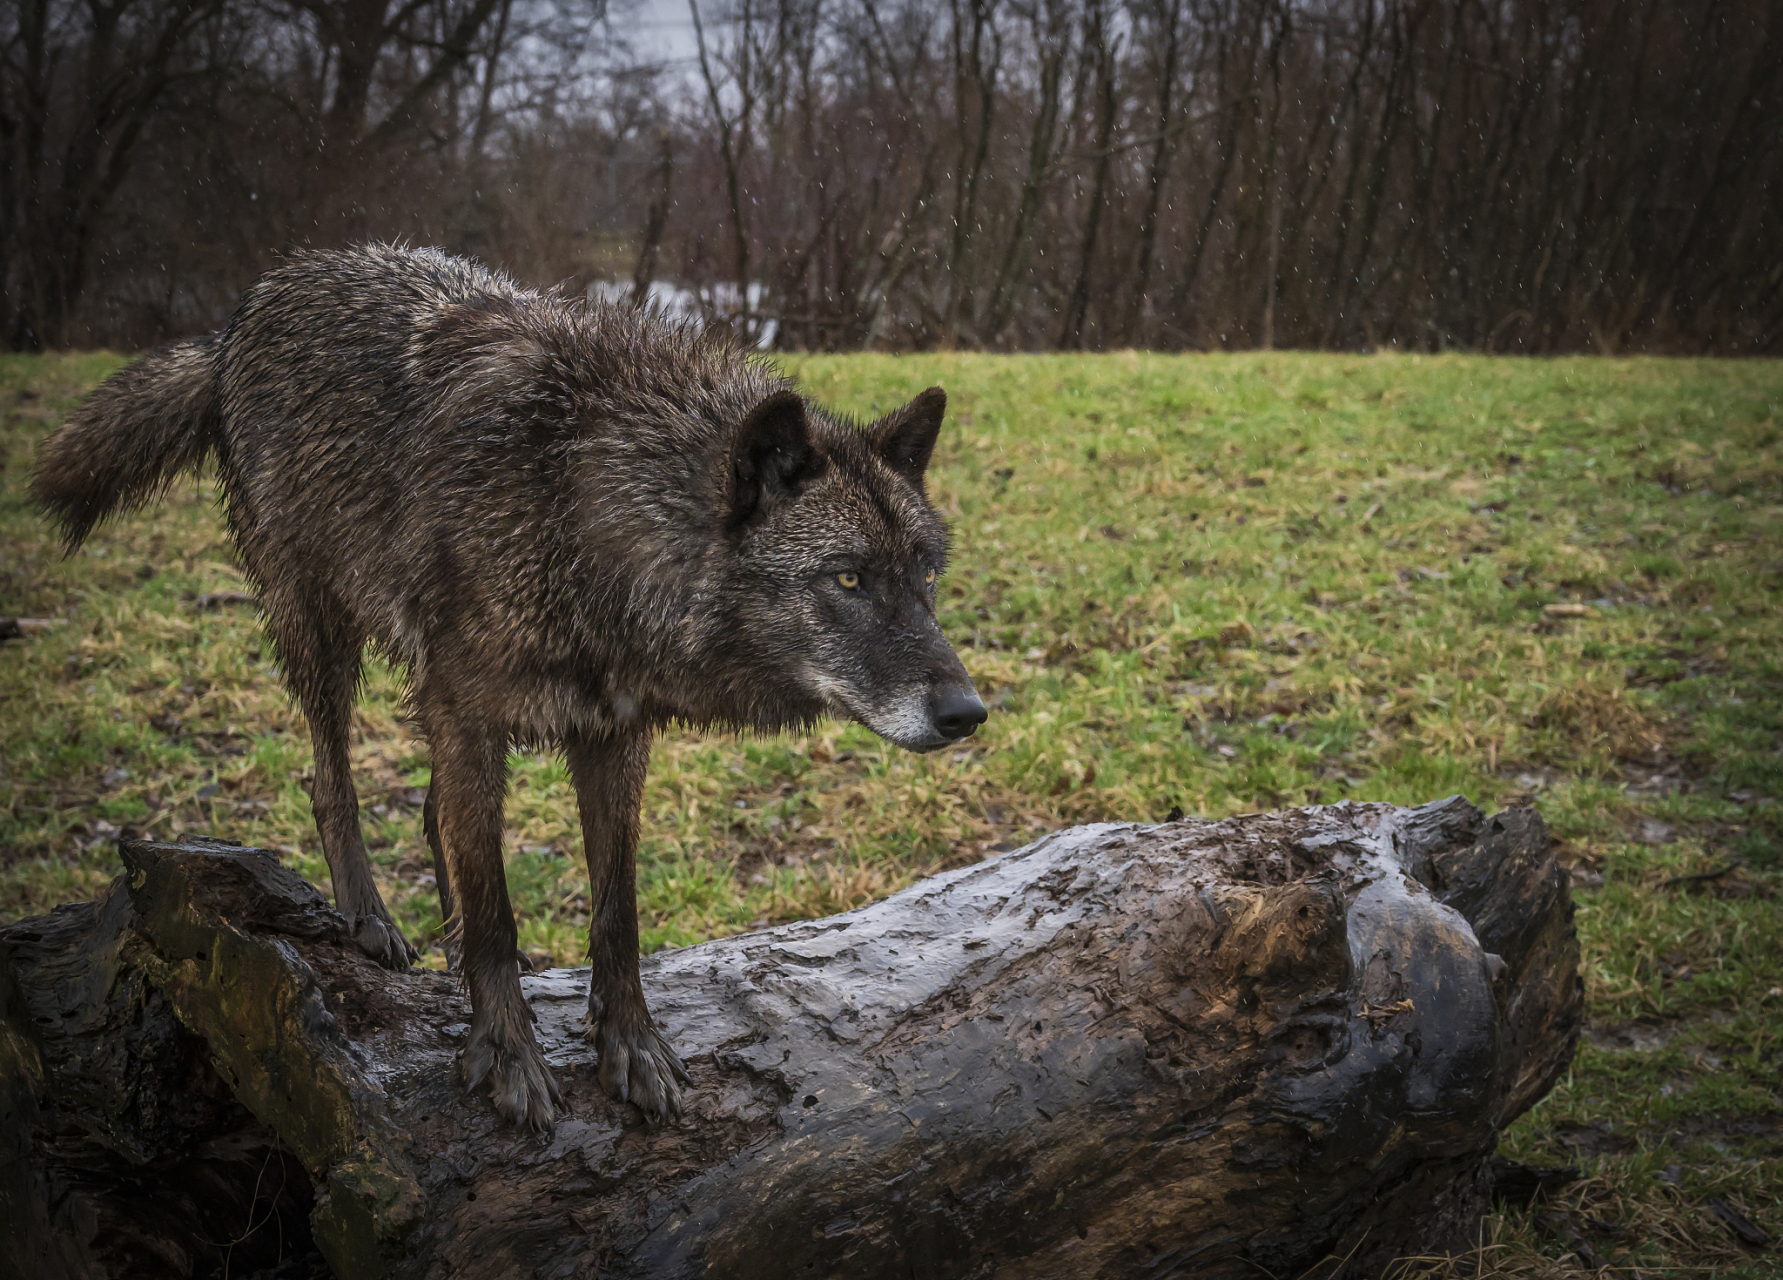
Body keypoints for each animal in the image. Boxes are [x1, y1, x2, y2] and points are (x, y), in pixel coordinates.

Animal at [31, 246, 991, 1126]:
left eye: (925, 578)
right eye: (848, 580)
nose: (967, 713)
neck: (582, 516)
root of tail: (253, 303)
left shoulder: (612, 737)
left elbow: (615, 910)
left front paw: (629, 1044)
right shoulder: (465, 715)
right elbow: (495, 910)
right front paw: (505, 1053)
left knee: (430, 812)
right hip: (321, 633)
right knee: (331, 781)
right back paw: (369, 918)